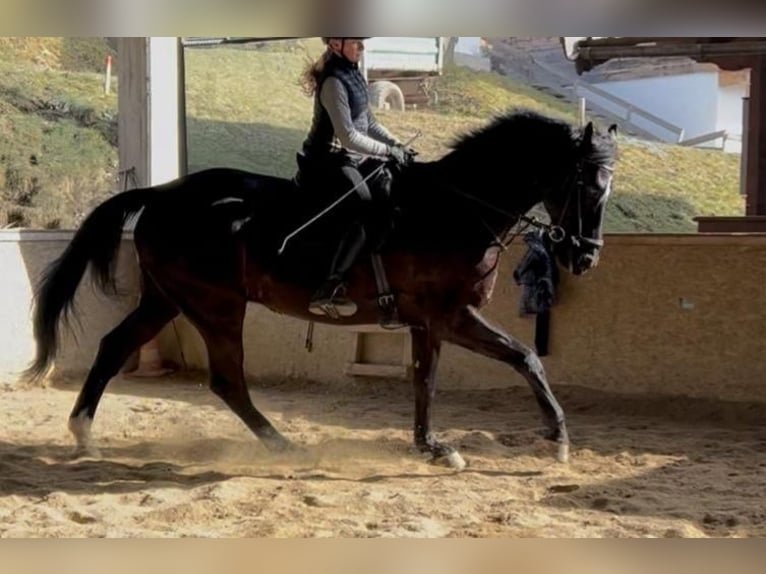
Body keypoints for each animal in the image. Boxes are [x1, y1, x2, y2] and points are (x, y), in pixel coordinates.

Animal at [24, 109, 618, 470]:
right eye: (588, 187)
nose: (585, 257)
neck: (454, 209)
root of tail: (162, 191)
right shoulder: (449, 317)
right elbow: (521, 357)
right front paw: (556, 438)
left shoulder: (429, 323)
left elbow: (431, 382)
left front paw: (430, 446)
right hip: (216, 306)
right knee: (227, 381)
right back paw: (282, 445)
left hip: (168, 298)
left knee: (115, 346)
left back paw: (83, 431)